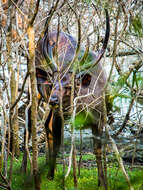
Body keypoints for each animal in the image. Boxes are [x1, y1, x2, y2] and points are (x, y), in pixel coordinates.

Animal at [24, 8, 110, 189]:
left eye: (70, 85)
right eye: (52, 83)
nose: (53, 100)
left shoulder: (100, 118)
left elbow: (98, 150)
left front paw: (101, 181)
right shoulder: (60, 114)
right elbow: (58, 142)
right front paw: (51, 176)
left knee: (46, 124)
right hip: (34, 88)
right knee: (30, 121)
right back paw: (28, 169)